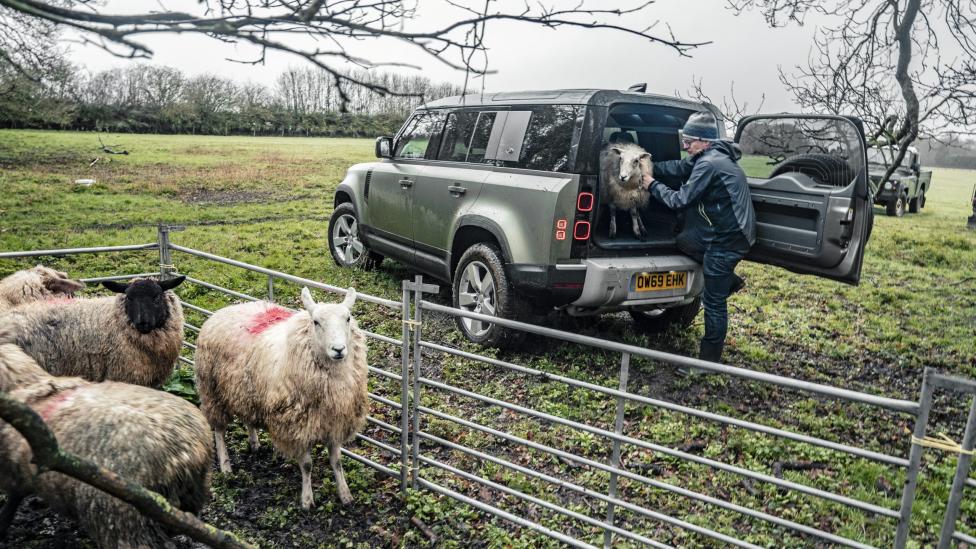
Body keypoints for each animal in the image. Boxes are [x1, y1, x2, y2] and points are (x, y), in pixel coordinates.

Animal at [0, 338, 213, 544]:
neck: (29, 385)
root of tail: (183, 454)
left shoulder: (14, 473)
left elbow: (12, 501)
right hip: (191, 496)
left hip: (121, 519)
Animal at [196, 288, 368, 508]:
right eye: (316, 322)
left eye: (348, 318)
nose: (338, 349)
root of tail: (226, 309)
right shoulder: (297, 426)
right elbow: (307, 465)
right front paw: (307, 500)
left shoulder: (334, 422)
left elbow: (337, 462)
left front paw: (345, 495)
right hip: (212, 390)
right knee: (219, 431)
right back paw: (226, 466)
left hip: (245, 390)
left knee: (247, 417)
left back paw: (254, 443)